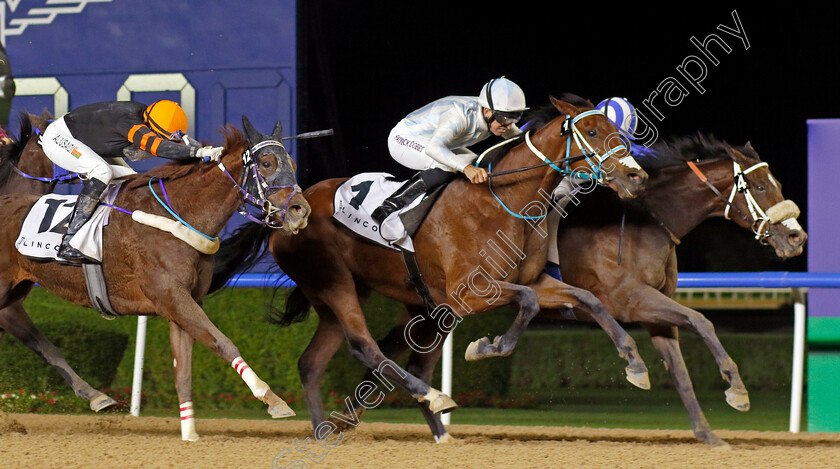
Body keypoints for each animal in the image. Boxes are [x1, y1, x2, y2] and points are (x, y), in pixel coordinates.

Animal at [0, 113, 312, 438]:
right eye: (267, 163)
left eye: (292, 162)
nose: (300, 211)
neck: (178, 214)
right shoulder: (171, 297)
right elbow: (223, 343)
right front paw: (272, 399)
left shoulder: (185, 302)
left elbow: (184, 369)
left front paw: (189, 433)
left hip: (13, 293)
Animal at [213, 96, 652, 438]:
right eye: (591, 132)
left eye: (618, 130)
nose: (637, 176)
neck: (504, 201)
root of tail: (284, 210)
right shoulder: (468, 292)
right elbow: (527, 302)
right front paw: (484, 347)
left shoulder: (531, 281)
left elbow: (588, 299)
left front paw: (635, 366)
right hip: (334, 283)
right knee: (365, 347)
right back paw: (433, 397)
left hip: (353, 296)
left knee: (313, 363)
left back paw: (332, 431)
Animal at [342, 133, 808, 446]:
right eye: (761, 186)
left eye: (777, 184)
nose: (796, 238)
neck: (648, 219)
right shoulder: (632, 300)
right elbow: (701, 319)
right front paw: (737, 391)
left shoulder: (654, 312)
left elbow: (681, 370)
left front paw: (709, 432)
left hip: (428, 308)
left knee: (394, 357)